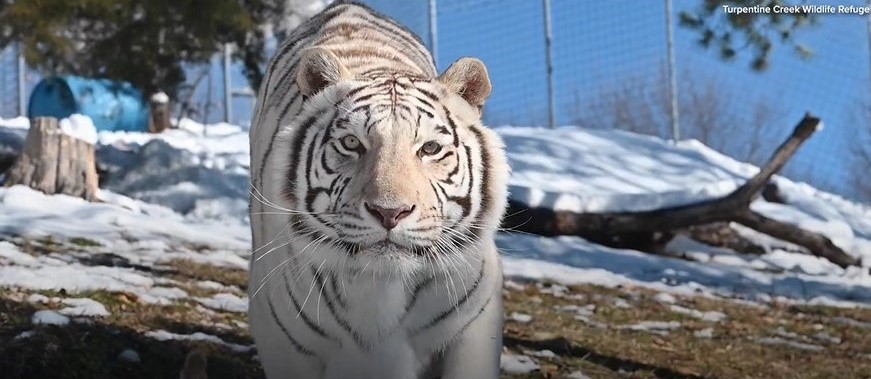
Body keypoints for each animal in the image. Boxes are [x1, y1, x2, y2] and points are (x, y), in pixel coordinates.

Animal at [247, 1, 510, 378]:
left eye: (430, 148)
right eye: (351, 143)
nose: (390, 212)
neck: (380, 285)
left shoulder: (475, 324)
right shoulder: (280, 337)